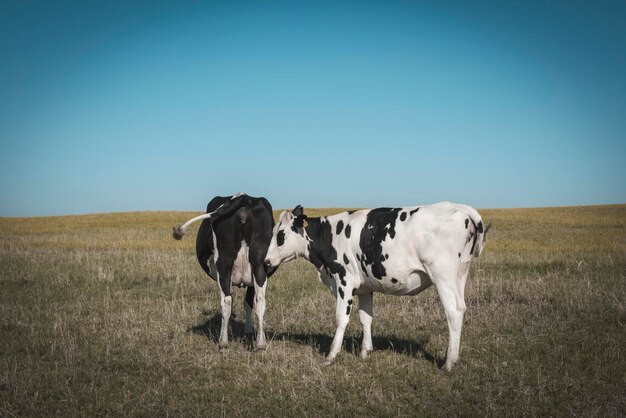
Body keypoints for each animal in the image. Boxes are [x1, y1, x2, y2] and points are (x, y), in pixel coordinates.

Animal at [172, 194, 276, 352]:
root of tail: (245, 198)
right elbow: (249, 302)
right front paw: (250, 331)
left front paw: (248, 330)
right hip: (259, 264)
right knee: (259, 300)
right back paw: (261, 344)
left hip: (223, 263)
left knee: (226, 300)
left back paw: (223, 342)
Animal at [264, 202, 488, 370]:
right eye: (273, 231)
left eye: (281, 234)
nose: (266, 261)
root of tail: (459, 207)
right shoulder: (365, 287)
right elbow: (366, 317)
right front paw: (365, 351)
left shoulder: (344, 281)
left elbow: (341, 318)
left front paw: (331, 355)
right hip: (460, 275)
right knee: (461, 307)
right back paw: (453, 357)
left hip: (443, 275)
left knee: (453, 311)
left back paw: (448, 363)